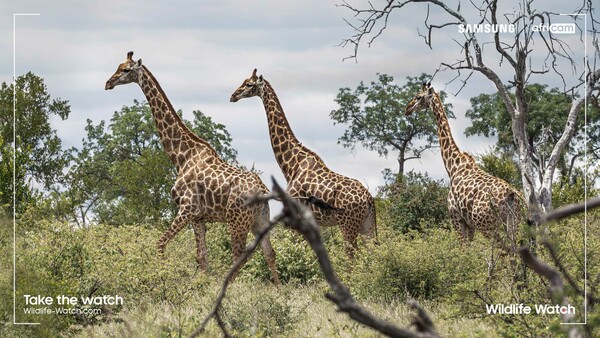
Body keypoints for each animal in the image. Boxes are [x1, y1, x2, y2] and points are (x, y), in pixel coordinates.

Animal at [105, 52, 278, 286]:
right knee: (269, 253)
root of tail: (262, 190)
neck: (182, 156)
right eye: (118, 66)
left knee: (238, 256)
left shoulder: (186, 209)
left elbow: (160, 244)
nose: (108, 83)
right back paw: (279, 291)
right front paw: (201, 285)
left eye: (126, 70)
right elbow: (201, 256)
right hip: (261, 220)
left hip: (237, 221)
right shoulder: (199, 217)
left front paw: (161, 278)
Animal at [230, 68, 376, 258]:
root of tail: (369, 199)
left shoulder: (295, 218)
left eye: (249, 84)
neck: (292, 166)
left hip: (348, 224)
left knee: (351, 256)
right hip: (368, 225)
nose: (233, 96)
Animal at [406, 83, 524, 250]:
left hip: (488, 225)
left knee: (502, 251)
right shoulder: (470, 224)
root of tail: (510, 194)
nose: (407, 109)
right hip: (514, 222)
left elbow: (463, 250)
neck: (453, 166)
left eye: (418, 97)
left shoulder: (456, 218)